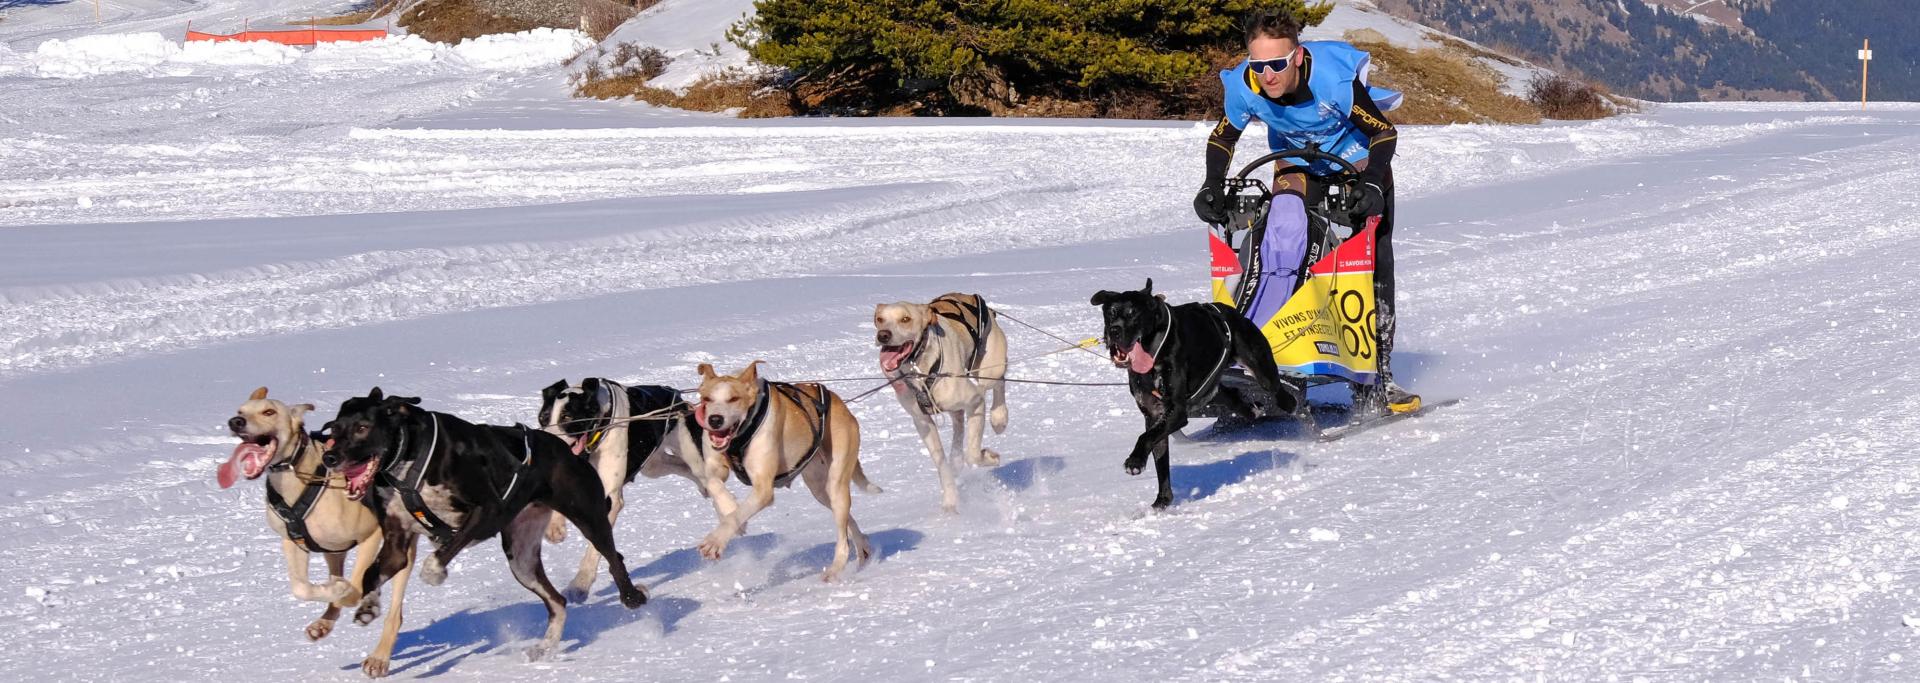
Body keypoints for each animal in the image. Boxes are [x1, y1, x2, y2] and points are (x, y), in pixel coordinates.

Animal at [216, 387, 414, 679]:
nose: (235, 422)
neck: (299, 477)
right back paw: (326, 621)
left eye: (269, 412)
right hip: (333, 550)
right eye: (240, 411)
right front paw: (335, 591)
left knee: (394, 612)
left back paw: (378, 655)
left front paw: (348, 592)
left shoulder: (371, 535)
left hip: (402, 548)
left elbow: (356, 587)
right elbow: (301, 587)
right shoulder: (293, 542)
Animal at [330, 389, 652, 659]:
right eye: (334, 429)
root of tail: (564, 448)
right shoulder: (397, 543)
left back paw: (632, 596)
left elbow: (439, 554)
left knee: (613, 559)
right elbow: (372, 574)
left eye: (362, 428)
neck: (411, 457)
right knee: (558, 602)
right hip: (521, 559)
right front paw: (369, 605)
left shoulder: (488, 510)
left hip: (590, 519)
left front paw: (434, 573)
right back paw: (545, 646)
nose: (330, 457)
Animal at [695, 362, 879, 583]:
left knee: (842, 536)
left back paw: (835, 569)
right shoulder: (715, 468)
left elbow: (738, 513)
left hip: (836, 481)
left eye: (733, 399)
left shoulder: (763, 490)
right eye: (707, 399)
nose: (715, 419)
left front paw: (715, 541)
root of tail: (839, 403)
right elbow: (714, 485)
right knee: (846, 521)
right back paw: (864, 548)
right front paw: (730, 509)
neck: (740, 435)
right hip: (820, 489)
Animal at [879, 291, 1013, 514]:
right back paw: (956, 459)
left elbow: (973, 454)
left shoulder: (976, 401)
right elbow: (941, 464)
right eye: (879, 319)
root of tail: (967, 295)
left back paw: (999, 417)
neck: (922, 370)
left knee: (999, 382)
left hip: (989, 370)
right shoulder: (922, 422)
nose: (883, 335)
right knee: (958, 423)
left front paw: (987, 456)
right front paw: (950, 502)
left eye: (905, 319)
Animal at [1090, 278, 1297, 506]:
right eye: (1110, 313)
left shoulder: (1177, 411)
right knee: (1233, 395)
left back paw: (1293, 406)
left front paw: (1135, 461)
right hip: (1210, 390)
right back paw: (1253, 409)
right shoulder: (1154, 414)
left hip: (1261, 368)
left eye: (1132, 313)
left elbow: (1144, 437)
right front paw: (1163, 499)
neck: (1154, 353)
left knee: (1280, 392)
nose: (1113, 331)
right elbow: (1158, 453)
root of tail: (1230, 312)